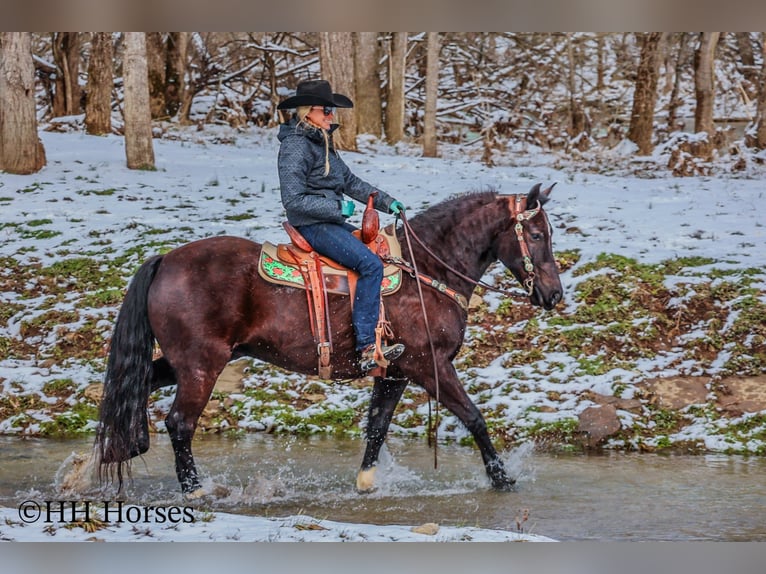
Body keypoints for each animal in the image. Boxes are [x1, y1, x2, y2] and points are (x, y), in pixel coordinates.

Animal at [95, 183, 563, 498]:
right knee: (180, 423)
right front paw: (501, 478)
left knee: (133, 388)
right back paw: (193, 489)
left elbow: (376, 428)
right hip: (200, 365)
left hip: (180, 362)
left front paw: (366, 483)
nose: (554, 295)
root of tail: (165, 260)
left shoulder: (394, 372)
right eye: (537, 235)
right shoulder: (429, 366)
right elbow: (474, 418)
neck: (428, 270)